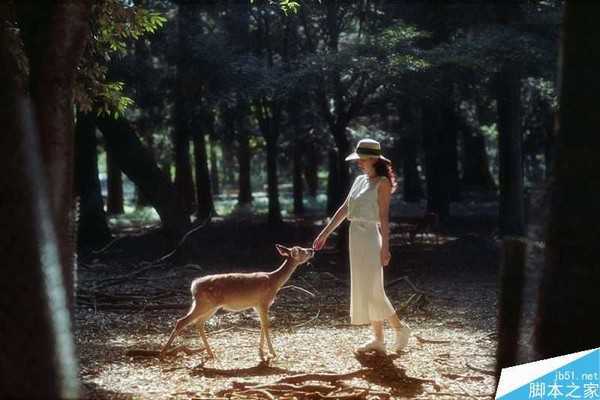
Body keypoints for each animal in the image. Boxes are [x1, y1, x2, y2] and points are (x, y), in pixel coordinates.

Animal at [162, 244, 316, 360]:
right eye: (299, 250)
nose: (311, 250)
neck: (274, 282)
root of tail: (194, 286)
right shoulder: (263, 301)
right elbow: (266, 325)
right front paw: (272, 353)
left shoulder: (256, 305)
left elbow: (262, 325)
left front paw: (261, 351)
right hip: (204, 304)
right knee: (182, 321)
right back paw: (163, 352)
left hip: (209, 306)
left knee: (198, 323)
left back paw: (210, 353)